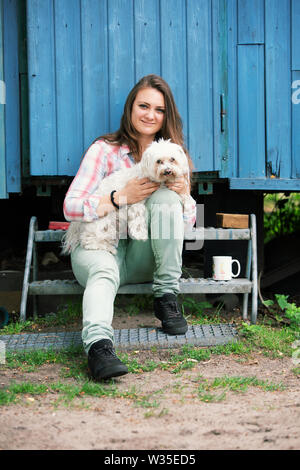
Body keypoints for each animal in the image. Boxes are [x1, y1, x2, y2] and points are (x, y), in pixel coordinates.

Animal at [61, 138, 190, 255]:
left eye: (172, 159)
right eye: (158, 161)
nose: (168, 171)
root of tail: (78, 224)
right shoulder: (136, 203)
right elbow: (138, 219)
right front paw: (140, 235)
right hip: (104, 225)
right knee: (88, 241)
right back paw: (108, 248)